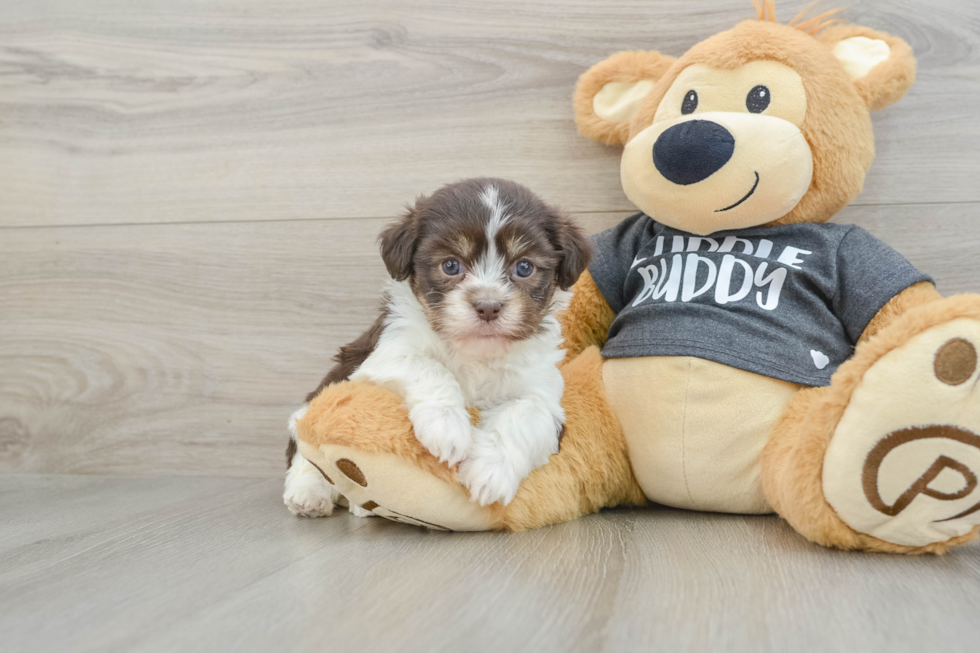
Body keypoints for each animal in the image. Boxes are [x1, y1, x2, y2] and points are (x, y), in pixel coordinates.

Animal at [284, 178, 588, 516]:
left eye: (524, 268)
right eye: (451, 265)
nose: (488, 306)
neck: (474, 351)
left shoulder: (542, 393)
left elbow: (524, 414)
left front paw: (490, 471)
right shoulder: (382, 353)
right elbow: (428, 366)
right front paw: (447, 427)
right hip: (318, 399)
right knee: (306, 452)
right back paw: (309, 494)